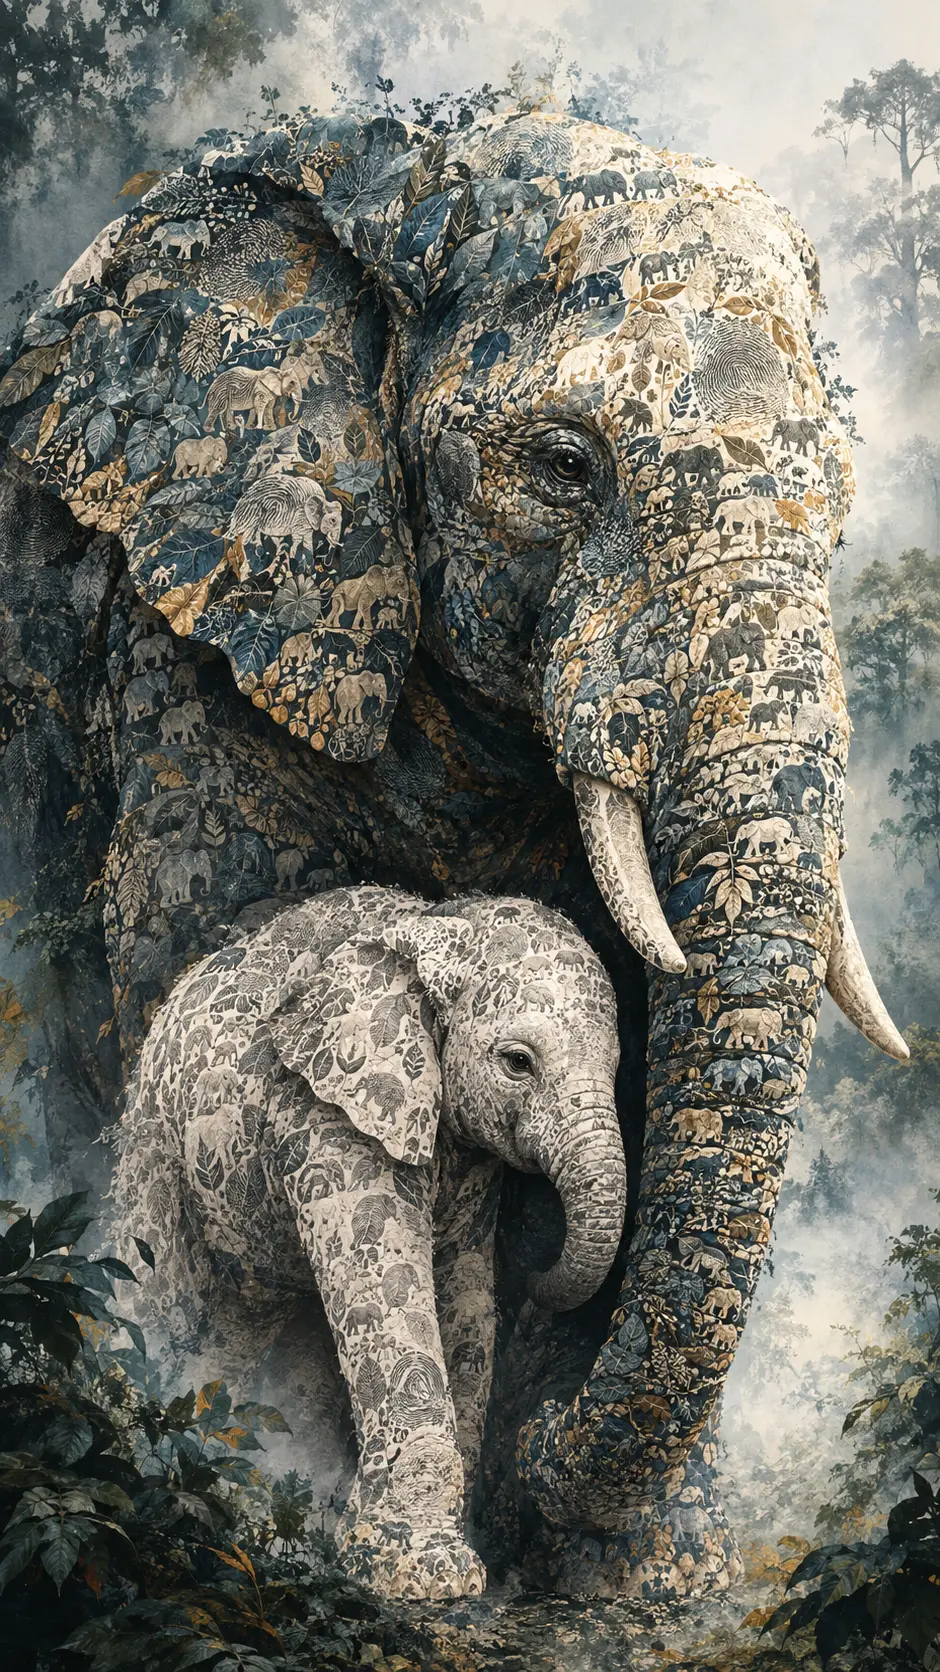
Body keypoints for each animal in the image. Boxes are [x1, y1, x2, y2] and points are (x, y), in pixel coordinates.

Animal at [112, 886, 626, 1601]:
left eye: (617, 1067)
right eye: (518, 1062)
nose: (536, 1271)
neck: (437, 922)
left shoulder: (469, 1164)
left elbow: (465, 1297)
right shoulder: (327, 1114)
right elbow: (389, 1279)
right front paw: (420, 1575)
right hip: (155, 1149)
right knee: (153, 1291)